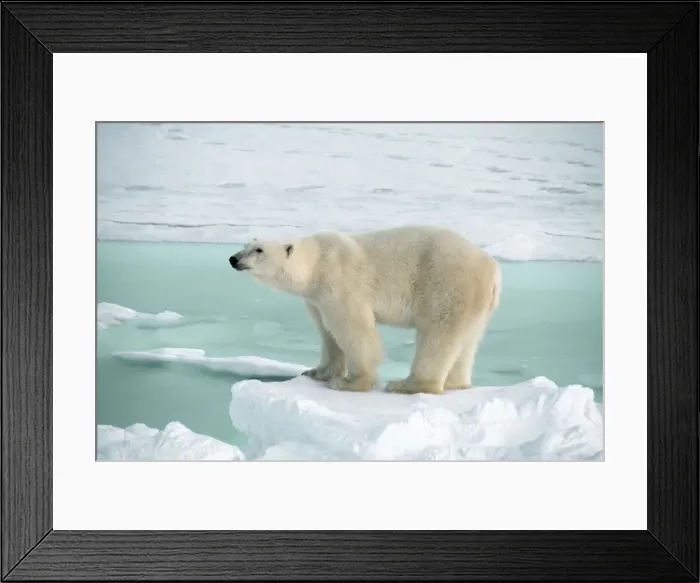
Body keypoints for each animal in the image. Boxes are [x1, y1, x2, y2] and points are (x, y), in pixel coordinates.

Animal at [228, 225, 501, 395]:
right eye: (245, 245)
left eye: (259, 250)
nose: (233, 259)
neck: (317, 262)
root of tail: (492, 267)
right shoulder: (316, 298)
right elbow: (327, 332)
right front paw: (317, 371)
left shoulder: (339, 282)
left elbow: (353, 330)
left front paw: (350, 382)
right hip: (477, 302)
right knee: (467, 340)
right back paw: (457, 383)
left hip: (447, 283)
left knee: (438, 335)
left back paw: (408, 385)